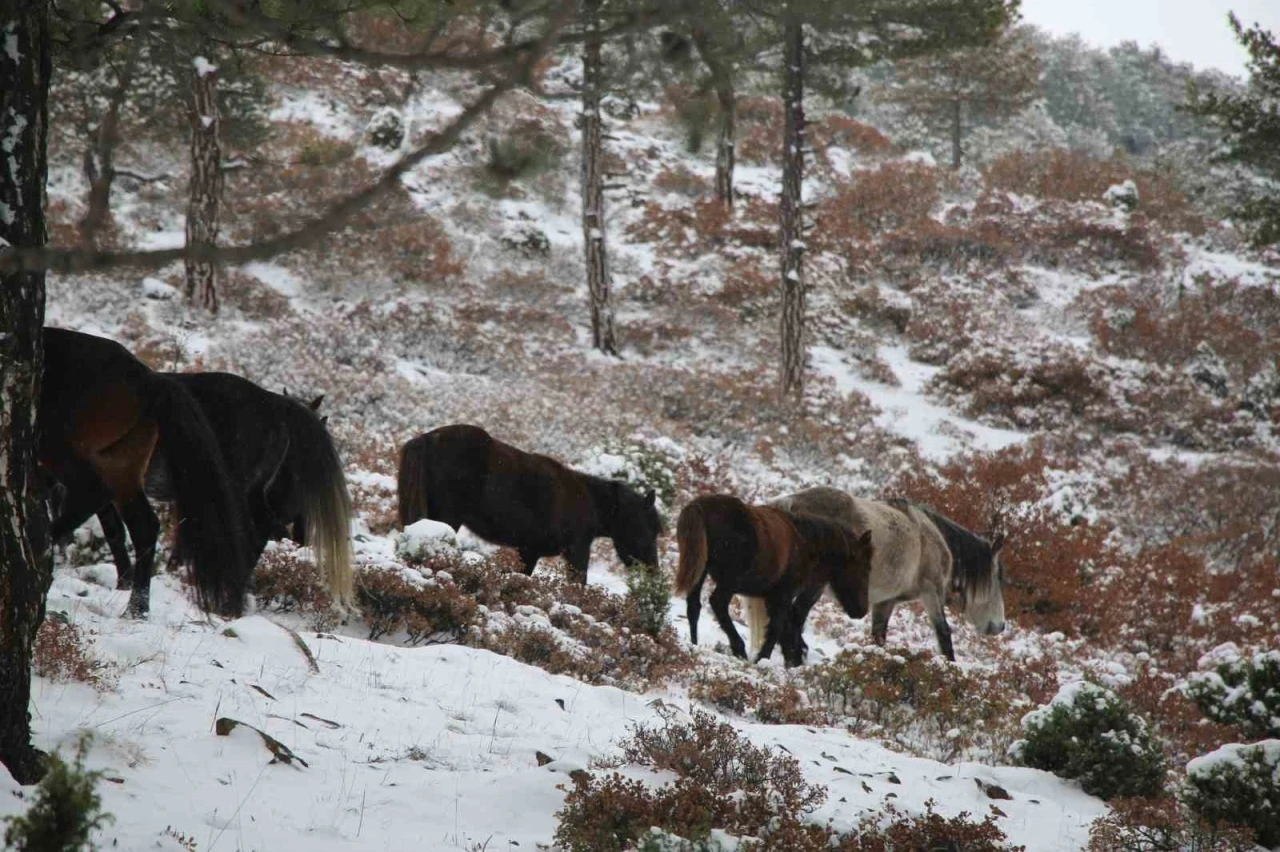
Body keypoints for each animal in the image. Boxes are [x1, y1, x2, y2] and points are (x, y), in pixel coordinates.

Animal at [38, 326, 253, 616]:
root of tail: (148, 379)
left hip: (60, 444)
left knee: (93, 492)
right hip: (121, 464)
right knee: (143, 526)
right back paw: (136, 609)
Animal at [396, 422, 660, 580]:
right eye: (650, 529)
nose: (653, 571)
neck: (589, 501)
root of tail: (428, 438)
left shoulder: (529, 551)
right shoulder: (577, 551)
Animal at [675, 491, 875, 665]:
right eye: (865, 568)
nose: (861, 610)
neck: (806, 542)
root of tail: (699, 507)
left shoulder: (772, 597)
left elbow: (783, 627)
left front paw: (792, 657)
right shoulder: (783, 594)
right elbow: (777, 627)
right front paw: (764, 658)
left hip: (701, 571)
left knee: (694, 607)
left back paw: (694, 644)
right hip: (729, 580)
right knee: (717, 603)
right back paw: (739, 648)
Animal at [747, 483, 1008, 654]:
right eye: (999, 579)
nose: (1000, 626)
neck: (931, 538)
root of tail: (787, 505)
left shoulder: (886, 601)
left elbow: (879, 636)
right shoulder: (931, 592)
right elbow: (944, 634)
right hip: (814, 586)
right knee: (795, 617)